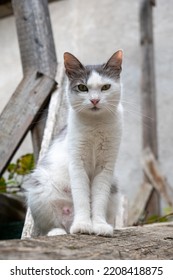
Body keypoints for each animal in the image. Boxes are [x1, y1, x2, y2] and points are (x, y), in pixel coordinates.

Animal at [26, 49, 123, 236]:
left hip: (114, 194)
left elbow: (99, 199)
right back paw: (59, 231)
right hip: (40, 190)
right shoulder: (77, 163)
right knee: (50, 226)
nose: (94, 100)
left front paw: (99, 225)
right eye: (82, 87)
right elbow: (82, 198)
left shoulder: (105, 167)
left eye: (105, 87)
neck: (96, 124)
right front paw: (83, 225)